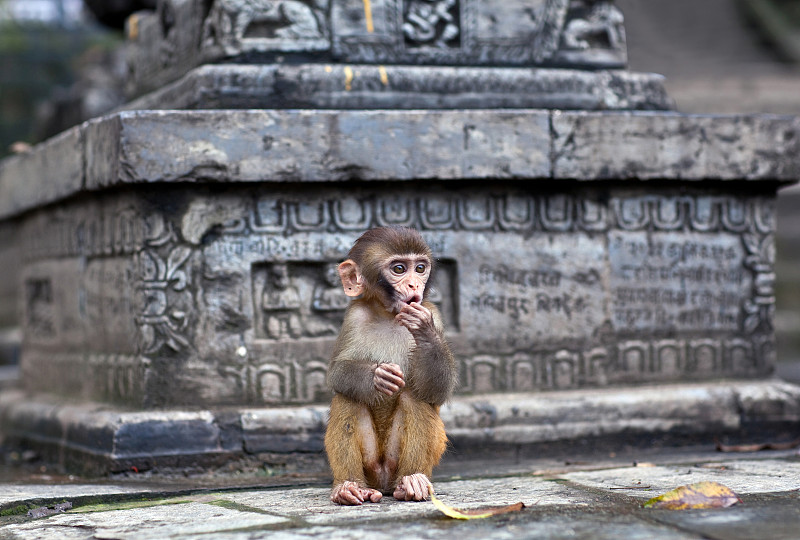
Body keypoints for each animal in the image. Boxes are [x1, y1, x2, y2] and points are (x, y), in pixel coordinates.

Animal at [324, 226, 460, 504]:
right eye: (399, 269)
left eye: (420, 268)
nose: (414, 284)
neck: (388, 315)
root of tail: (384, 483)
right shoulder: (354, 316)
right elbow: (337, 373)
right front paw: (377, 377)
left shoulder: (434, 313)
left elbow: (438, 391)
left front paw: (423, 330)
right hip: (371, 467)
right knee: (347, 397)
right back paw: (348, 486)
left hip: (395, 462)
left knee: (415, 396)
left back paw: (413, 480)